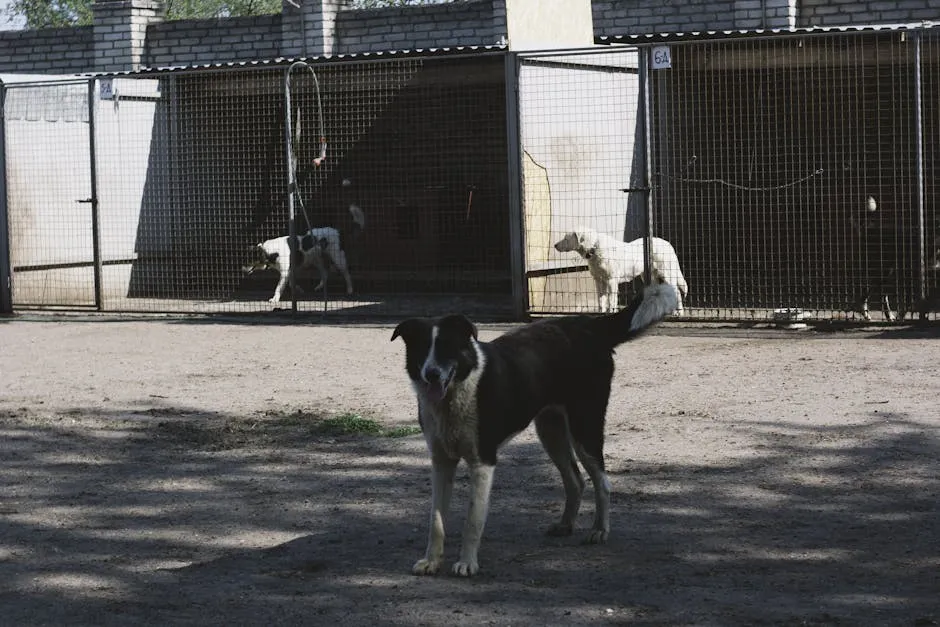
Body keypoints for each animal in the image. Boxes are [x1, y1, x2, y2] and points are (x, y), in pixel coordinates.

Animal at [390, 282, 676, 576]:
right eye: (423, 349)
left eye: (447, 348)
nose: (431, 374)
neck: (459, 389)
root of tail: (588, 326)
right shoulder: (441, 462)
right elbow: (435, 521)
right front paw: (432, 561)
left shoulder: (483, 462)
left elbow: (472, 520)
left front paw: (467, 563)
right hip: (550, 432)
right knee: (575, 479)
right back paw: (565, 525)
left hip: (585, 429)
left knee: (603, 482)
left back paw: (599, 530)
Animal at [552, 226, 692, 314]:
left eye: (566, 238)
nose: (554, 245)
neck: (594, 248)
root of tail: (668, 243)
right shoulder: (599, 280)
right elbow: (601, 300)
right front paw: (600, 312)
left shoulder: (611, 280)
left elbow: (612, 300)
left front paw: (611, 312)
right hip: (650, 276)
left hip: (667, 273)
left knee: (677, 292)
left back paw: (679, 313)